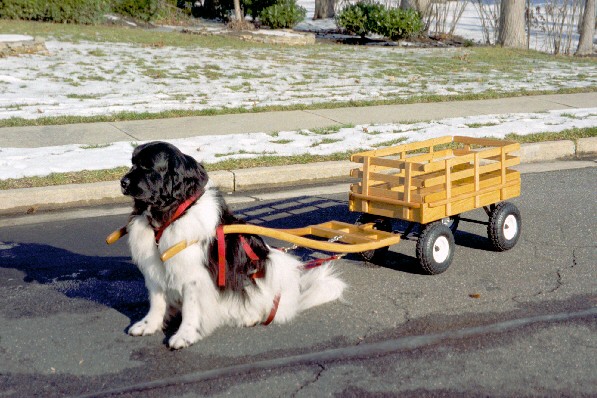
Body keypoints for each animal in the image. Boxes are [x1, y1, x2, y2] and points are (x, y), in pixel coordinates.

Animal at [119, 142, 346, 348]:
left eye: (148, 167)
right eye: (132, 163)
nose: (122, 181)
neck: (169, 216)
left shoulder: (193, 276)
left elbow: (191, 309)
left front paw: (184, 335)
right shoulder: (155, 271)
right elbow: (157, 302)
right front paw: (149, 325)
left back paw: (250, 317)